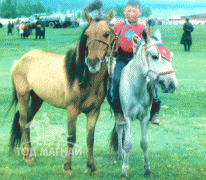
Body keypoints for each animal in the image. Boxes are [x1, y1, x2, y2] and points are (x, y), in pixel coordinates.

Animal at [8, 9, 117, 176]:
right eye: (87, 35)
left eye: (106, 34)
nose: (92, 63)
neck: (84, 79)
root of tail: (19, 61)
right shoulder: (72, 110)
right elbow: (71, 138)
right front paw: (67, 168)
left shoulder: (94, 111)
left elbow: (90, 139)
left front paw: (92, 167)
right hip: (23, 96)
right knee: (23, 121)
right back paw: (27, 157)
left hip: (37, 99)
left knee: (27, 121)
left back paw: (30, 152)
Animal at [110, 28, 178, 178]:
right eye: (154, 56)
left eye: (170, 56)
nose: (172, 84)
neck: (137, 87)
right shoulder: (128, 117)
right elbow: (128, 143)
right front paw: (124, 171)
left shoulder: (145, 117)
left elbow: (144, 143)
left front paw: (147, 169)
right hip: (120, 115)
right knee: (119, 129)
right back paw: (120, 155)